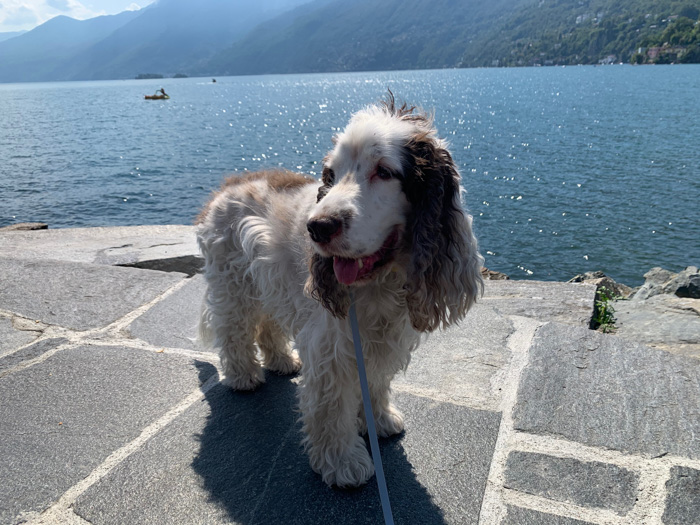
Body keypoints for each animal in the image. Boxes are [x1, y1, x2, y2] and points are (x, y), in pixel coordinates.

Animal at [195, 93, 483, 488]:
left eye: (384, 171)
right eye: (330, 176)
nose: (317, 227)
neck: (380, 282)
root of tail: (225, 186)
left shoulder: (381, 339)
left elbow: (374, 382)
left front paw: (379, 421)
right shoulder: (330, 344)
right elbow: (330, 408)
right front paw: (344, 463)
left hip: (268, 280)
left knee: (268, 324)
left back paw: (282, 361)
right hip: (234, 283)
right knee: (234, 330)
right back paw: (243, 376)